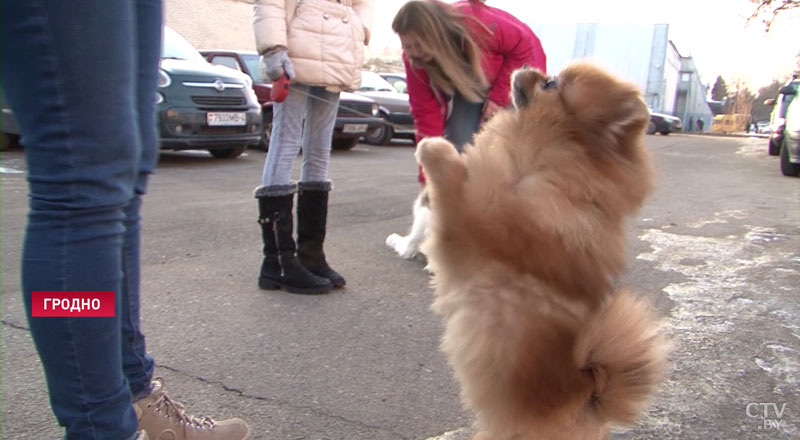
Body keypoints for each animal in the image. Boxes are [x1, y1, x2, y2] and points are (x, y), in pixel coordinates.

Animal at [416, 62, 672, 440]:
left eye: (551, 84)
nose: (528, 67)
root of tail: (591, 400)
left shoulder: (465, 228)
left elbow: (450, 176)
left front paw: (434, 147)